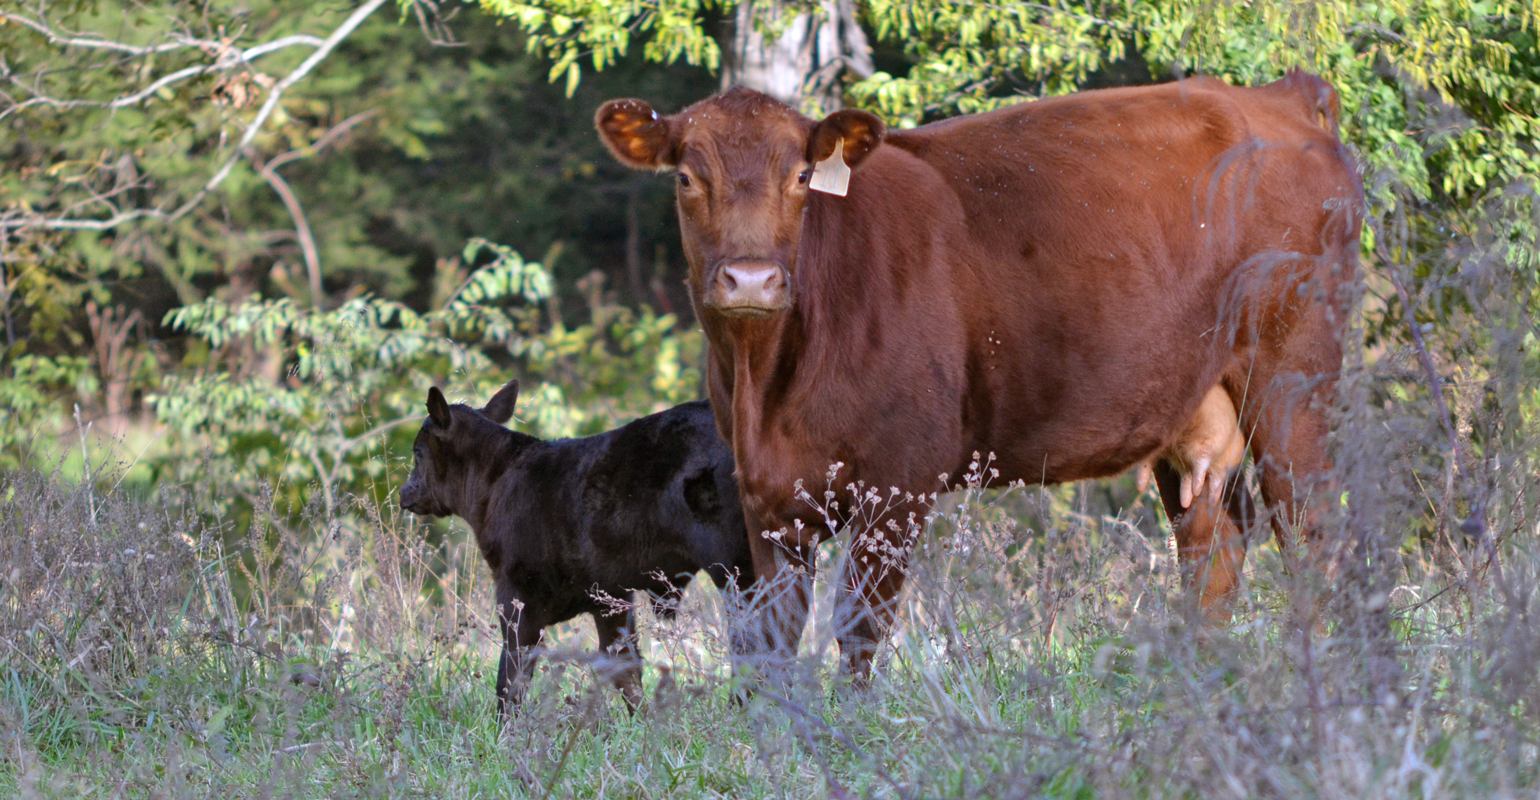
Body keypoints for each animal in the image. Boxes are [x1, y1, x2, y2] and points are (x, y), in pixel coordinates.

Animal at [594, 72, 1367, 681]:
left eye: (803, 177)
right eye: (688, 178)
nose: (751, 277)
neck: (770, 385)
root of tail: (1276, 97)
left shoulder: (898, 484)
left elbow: (860, 628)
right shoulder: (766, 499)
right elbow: (773, 638)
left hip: (1294, 382)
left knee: (1312, 532)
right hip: (1196, 408)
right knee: (1212, 547)